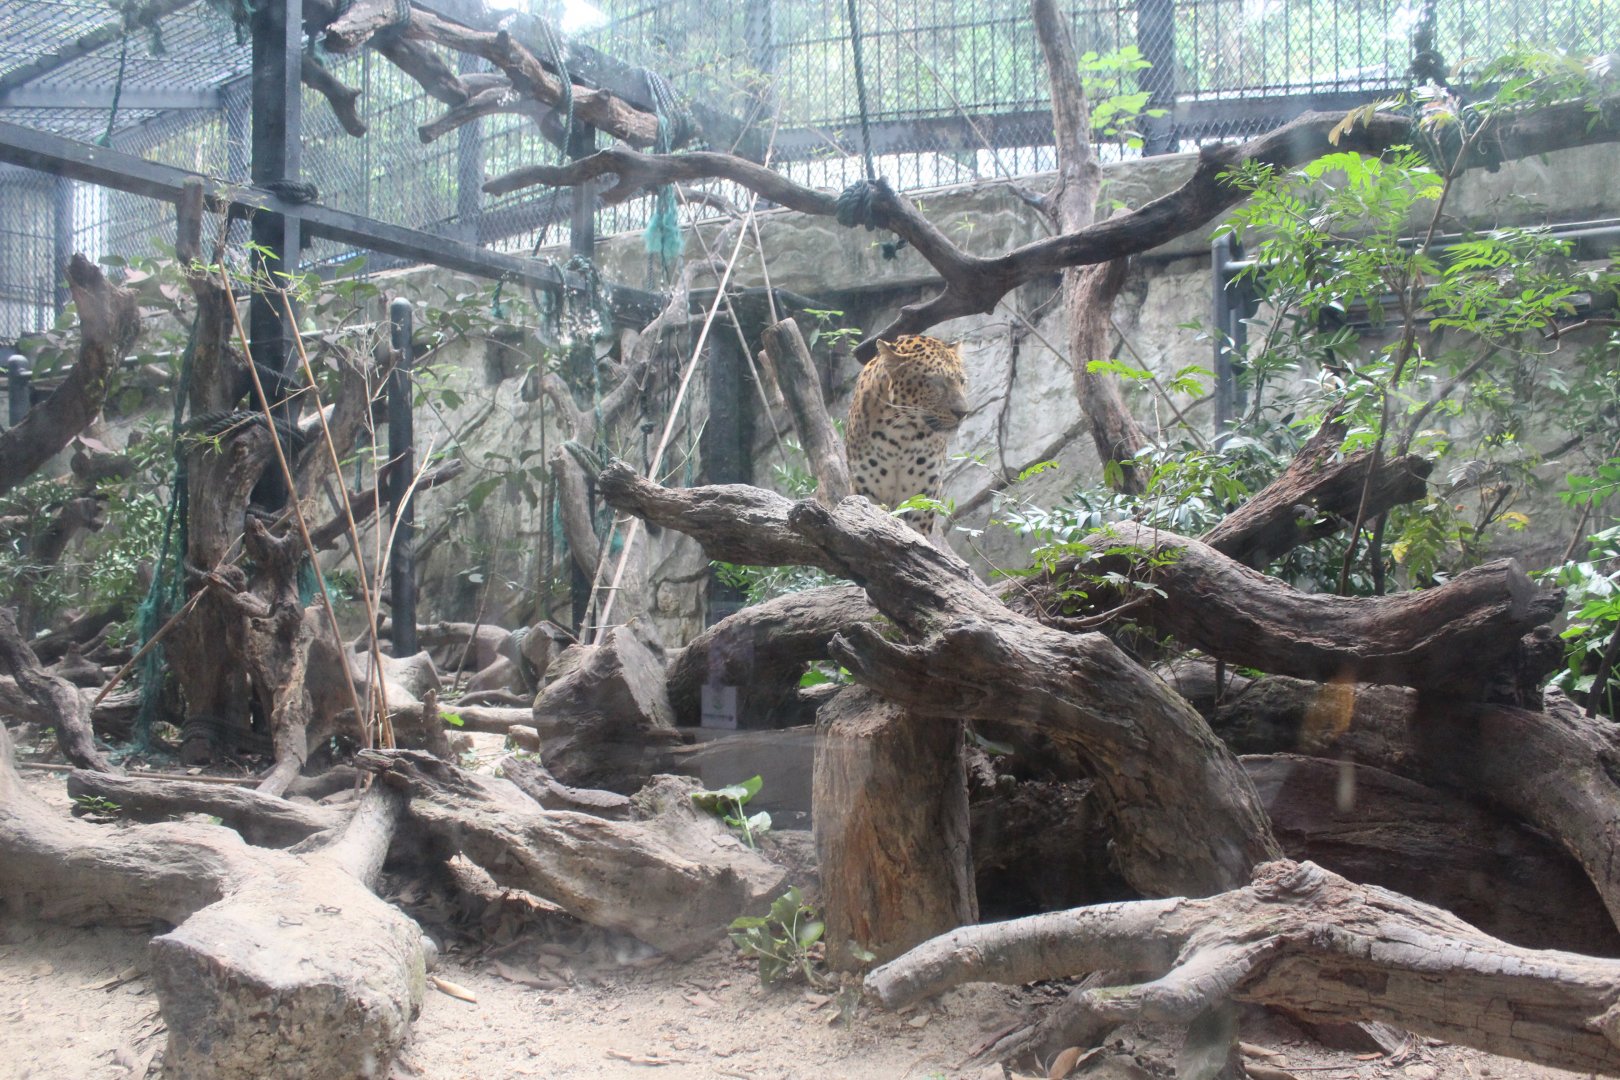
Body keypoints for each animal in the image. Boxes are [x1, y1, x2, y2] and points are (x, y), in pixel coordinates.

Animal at [845, 334, 970, 535]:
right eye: (936, 382)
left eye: (962, 382)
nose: (963, 412)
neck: (902, 435)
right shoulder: (866, 486)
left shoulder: (925, 491)